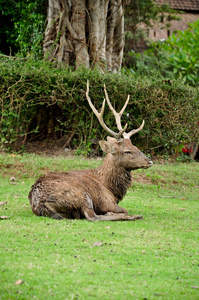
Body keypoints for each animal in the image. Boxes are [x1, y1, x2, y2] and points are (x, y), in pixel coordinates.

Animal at [28, 81, 152, 221]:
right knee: (93, 216)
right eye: (127, 151)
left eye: (136, 147)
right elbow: (124, 210)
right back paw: (132, 216)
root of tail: (39, 202)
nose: (149, 161)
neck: (110, 188)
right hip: (82, 195)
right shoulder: (106, 202)